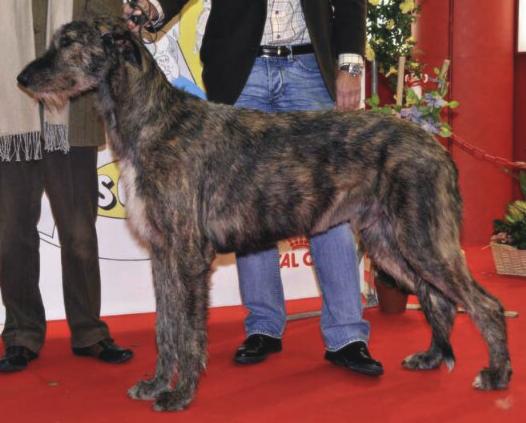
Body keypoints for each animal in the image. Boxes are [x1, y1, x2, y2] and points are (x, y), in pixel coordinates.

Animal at [17, 19, 516, 410]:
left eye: (69, 42)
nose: (22, 78)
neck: (155, 121)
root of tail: (436, 145)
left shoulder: (188, 254)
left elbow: (189, 331)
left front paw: (181, 395)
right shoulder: (162, 253)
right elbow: (165, 327)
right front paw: (157, 383)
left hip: (422, 239)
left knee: (484, 303)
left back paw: (496, 375)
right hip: (389, 242)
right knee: (439, 300)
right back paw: (432, 357)